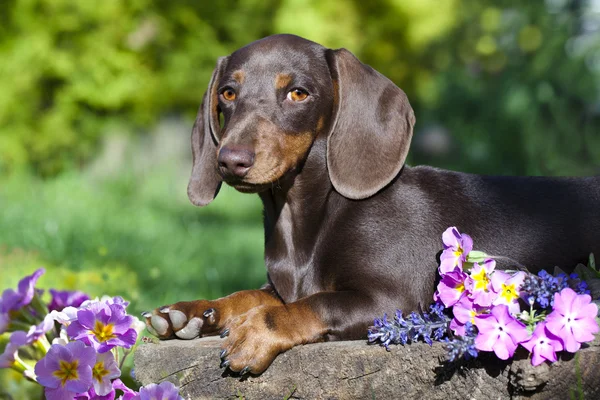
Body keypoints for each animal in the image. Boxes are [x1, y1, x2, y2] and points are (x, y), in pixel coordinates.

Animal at [142, 34, 600, 376]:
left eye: (298, 93)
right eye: (227, 92)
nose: (230, 160)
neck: (311, 216)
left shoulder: (394, 300)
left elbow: (313, 303)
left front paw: (255, 332)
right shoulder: (280, 286)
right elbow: (249, 295)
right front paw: (192, 312)